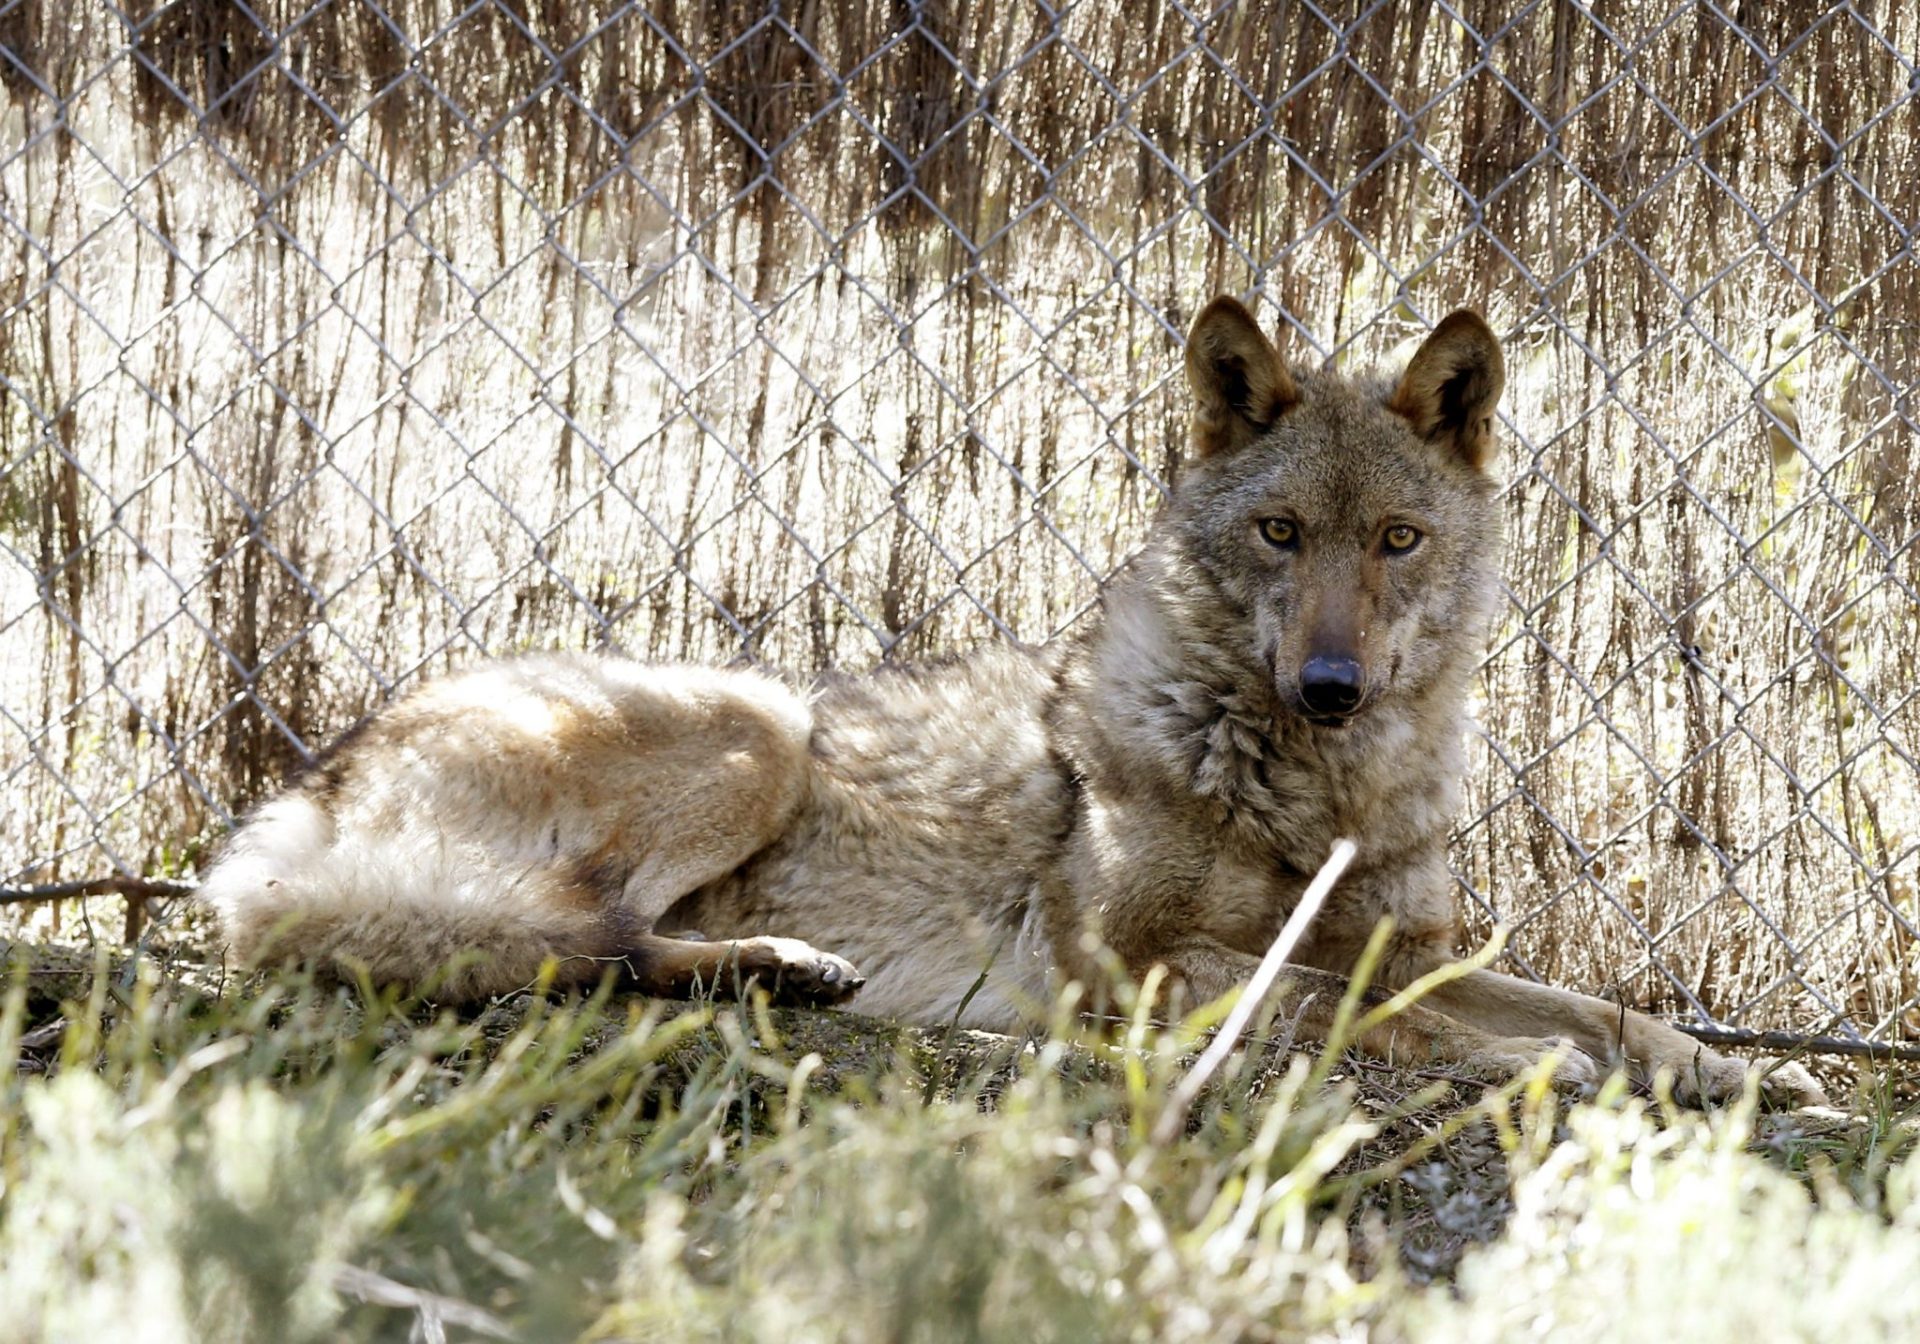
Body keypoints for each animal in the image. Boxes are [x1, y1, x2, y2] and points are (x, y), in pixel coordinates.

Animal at [200, 296, 1823, 1107]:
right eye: (1281, 534)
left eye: (1397, 541)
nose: (1332, 684)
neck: (1316, 788)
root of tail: (286, 815)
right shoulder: (1137, 969)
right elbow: (1360, 1008)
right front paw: (1546, 1066)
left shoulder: (1404, 938)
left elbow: (1576, 998)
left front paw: (1723, 1069)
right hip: (756, 723)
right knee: (574, 940)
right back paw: (801, 973)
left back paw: (789, 975)